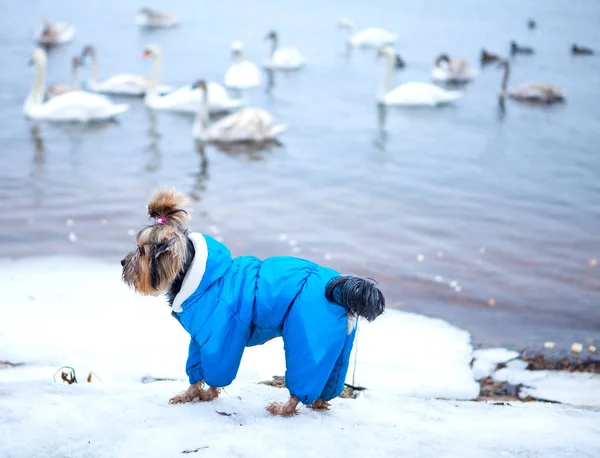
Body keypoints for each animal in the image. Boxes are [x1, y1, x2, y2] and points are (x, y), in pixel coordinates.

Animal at [120, 188, 384, 416]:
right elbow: (196, 368)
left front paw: (206, 394)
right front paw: (189, 395)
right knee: (331, 379)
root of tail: (340, 289)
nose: (123, 261)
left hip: (309, 335)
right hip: (339, 343)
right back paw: (319, 404)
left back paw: (284, 408)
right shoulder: (199, 338)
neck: (196, 276)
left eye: (141, 251)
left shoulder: (221, 337)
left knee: (305, 376)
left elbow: (217, 369)